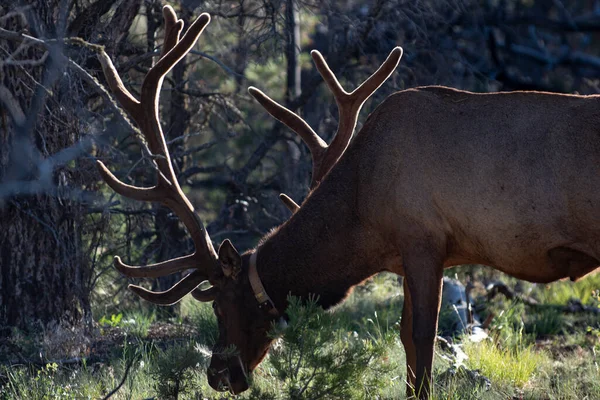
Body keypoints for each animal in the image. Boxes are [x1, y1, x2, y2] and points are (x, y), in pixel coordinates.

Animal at [95, 4, 600, 398]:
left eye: (219, 306)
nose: (217, 374)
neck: (363, 213)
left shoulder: (423, 240)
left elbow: (423, 339)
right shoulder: (408, 255)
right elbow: (405, 339)